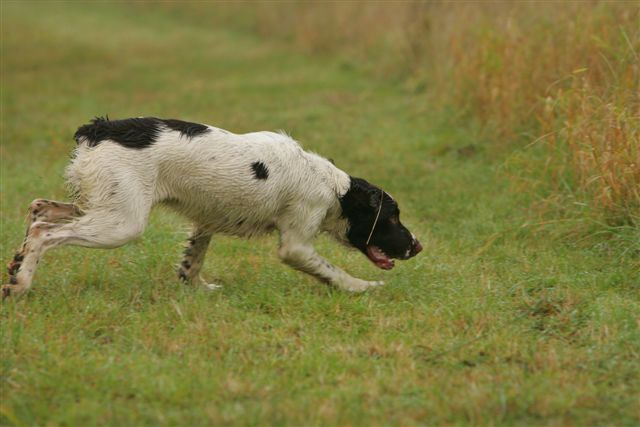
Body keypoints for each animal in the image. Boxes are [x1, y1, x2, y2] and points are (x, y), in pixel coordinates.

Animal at [2, 116, 422, 298]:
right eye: (392, 217)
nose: (418, 246)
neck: (334, 189)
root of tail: (98, 129)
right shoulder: (296, 244)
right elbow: (334, 272)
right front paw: (363, 287)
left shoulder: (204, 223)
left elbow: (192, 263)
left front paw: (198, 288)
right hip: (122, 221)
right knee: (44, 231)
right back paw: (20, 284)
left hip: (103, 206)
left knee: (38, 209)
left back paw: (17, 265)